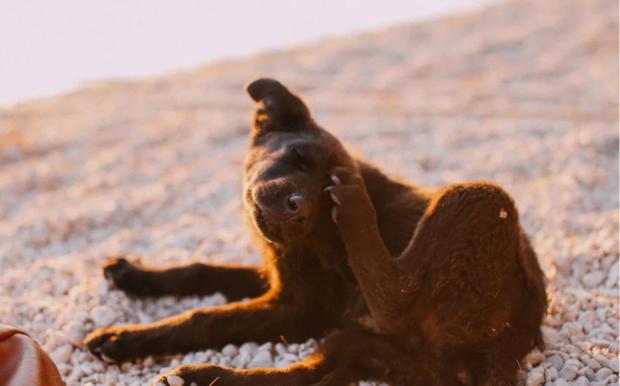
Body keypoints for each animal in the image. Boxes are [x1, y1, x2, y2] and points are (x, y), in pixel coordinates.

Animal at [85, 79, 544, 386]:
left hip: (479, 200)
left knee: (394, 299)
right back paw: (201, 375)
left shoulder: (299, 307)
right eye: (298, 157)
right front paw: (133, 277)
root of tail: (512, 343)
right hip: (370, 347)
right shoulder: (279, 277)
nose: (296, 209)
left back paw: (356, 212)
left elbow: (208, 317)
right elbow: (204, 271)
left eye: (324, 193)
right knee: (306, 376)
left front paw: (125, 335)